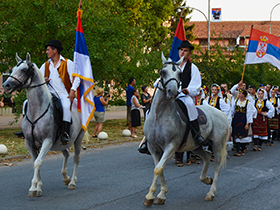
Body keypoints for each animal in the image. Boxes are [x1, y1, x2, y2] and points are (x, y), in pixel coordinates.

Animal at [2, 53, 84, 198]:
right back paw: (65, 178)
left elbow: (38, 162)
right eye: (12, 70)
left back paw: (72, 182)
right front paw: (37, 187)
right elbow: (35, 162)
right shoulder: (29, 143)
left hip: (78, 138)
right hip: (59, 143)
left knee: (76, 158)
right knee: (67, 154)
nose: (6, 85)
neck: (37, 111)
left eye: (24, 70)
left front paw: (33, 187)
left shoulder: (47, 141)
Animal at [142, 53, 230, 206]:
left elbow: (158, 169)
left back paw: (211, 192)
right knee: (207, 157)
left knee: (217, 166)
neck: (159, 116)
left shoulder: (171, 146)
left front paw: (151, 195)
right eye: (162, 72)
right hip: (196, 146)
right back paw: (206, 179)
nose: (172, 92)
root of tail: (220, 112)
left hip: (217, 145)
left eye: (180, 73)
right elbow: (159, 169)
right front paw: (160, 194)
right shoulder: (154, 148)